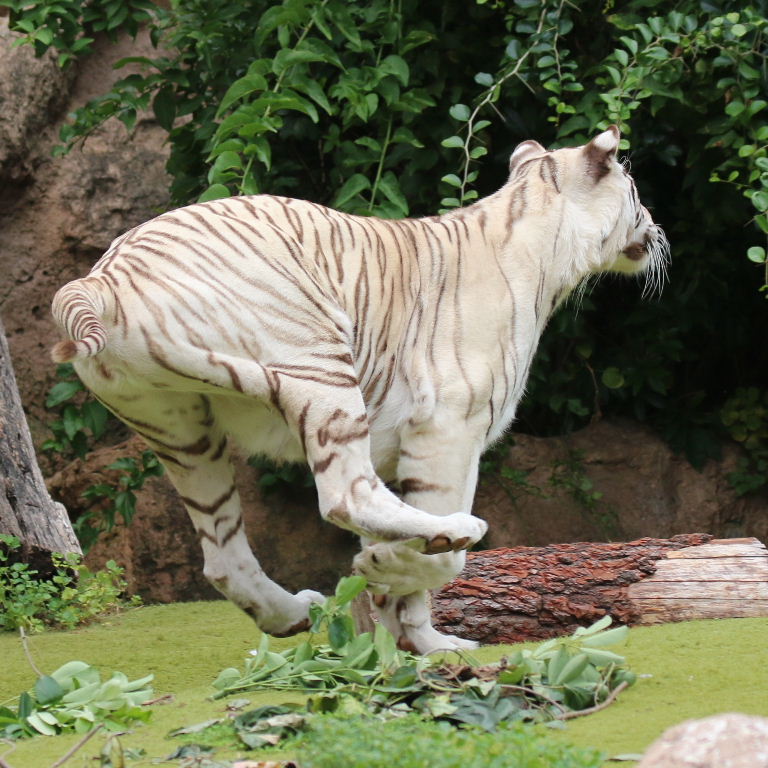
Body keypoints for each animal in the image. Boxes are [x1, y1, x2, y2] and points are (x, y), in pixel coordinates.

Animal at [51, 125, 668, 654]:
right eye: (638, 191)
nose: (658, 229)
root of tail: (104, 277)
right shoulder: (448, 427)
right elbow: (443, 559)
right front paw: (396, 572)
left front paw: (420, 640)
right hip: (318, 358)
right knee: (347, 494)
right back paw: (447, 533)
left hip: (181, 431)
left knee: (224, 555)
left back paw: (292, 614)